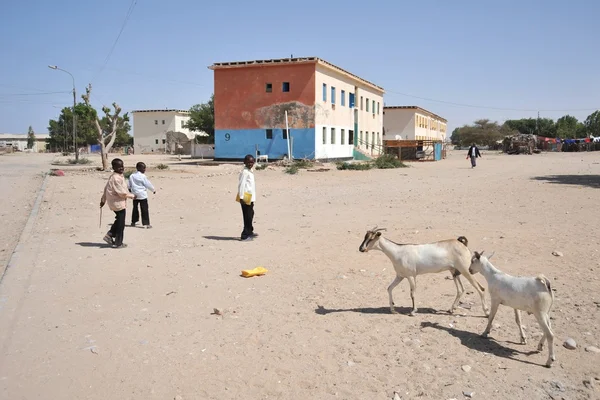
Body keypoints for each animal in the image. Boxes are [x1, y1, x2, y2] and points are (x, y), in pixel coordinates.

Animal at [358, 227, 490, 318]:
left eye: (371, 238)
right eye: (365, 236)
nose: (361, 248)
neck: (398, 251)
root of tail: (461, 243)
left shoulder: (411, 276)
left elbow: (412, 293)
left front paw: (413, 311)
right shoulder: (400, 276)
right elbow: (389, 288)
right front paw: (393, 310)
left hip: (466, 270)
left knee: (481, 288)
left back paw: (487, 312)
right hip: (454, 272)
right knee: (461, 289)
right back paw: (451, 309)